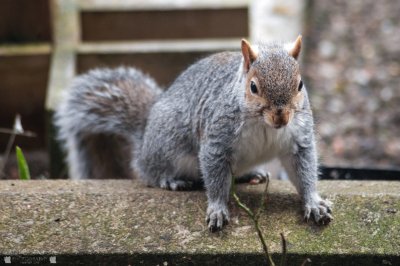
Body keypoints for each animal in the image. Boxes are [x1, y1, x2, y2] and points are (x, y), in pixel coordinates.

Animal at [54, 36, 332, 232]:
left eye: (300, 84)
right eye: (253, 87)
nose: (281, 117)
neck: (264, 125)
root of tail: (145, 138)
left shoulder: (299, 139)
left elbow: (304, 172)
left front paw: (313, 203)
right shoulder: (217, 139)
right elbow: (215, 178)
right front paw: (218, 209)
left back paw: (251, 174)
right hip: (167, 145)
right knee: (149, 172)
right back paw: (170, 180)